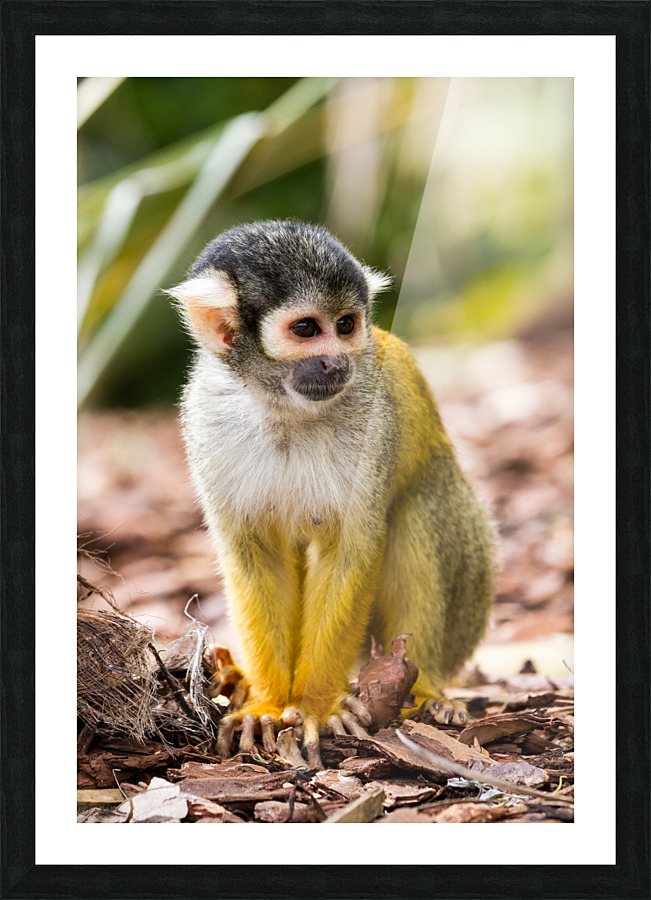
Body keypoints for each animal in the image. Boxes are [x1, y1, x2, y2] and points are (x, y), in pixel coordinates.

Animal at [167, 220, 494, 766]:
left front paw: (317, 706)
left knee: (418, 509)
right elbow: (255, 554)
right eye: (306, 329)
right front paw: (268, 706)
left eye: (345, 325)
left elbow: (352, 547)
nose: (337, 360)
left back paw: (425, 694)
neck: (284, 406)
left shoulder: (371, 420)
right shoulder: (207, 417)